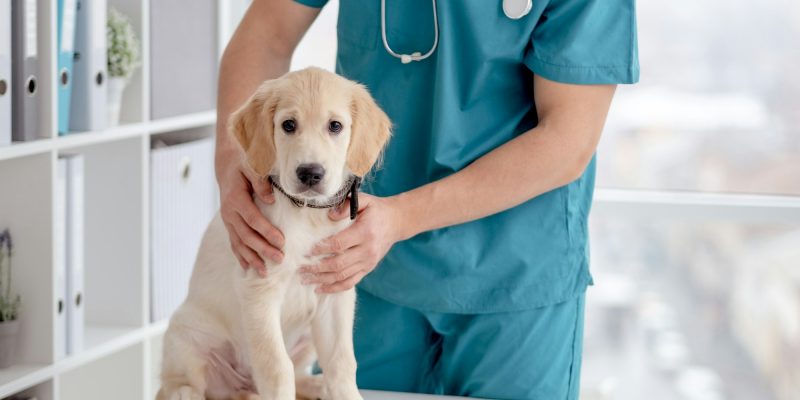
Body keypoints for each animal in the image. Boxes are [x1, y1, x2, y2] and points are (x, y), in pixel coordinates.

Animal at [155, 66, 390, 400]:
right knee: (177, 386)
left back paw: (315, 385)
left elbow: (341, 362)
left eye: (335, 126)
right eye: (288, 125)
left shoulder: (334, 292)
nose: (310, 173)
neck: (307, 213)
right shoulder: (259, 288)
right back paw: (188, 393)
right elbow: (276, 366)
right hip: (187, 336)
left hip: (307, 338)